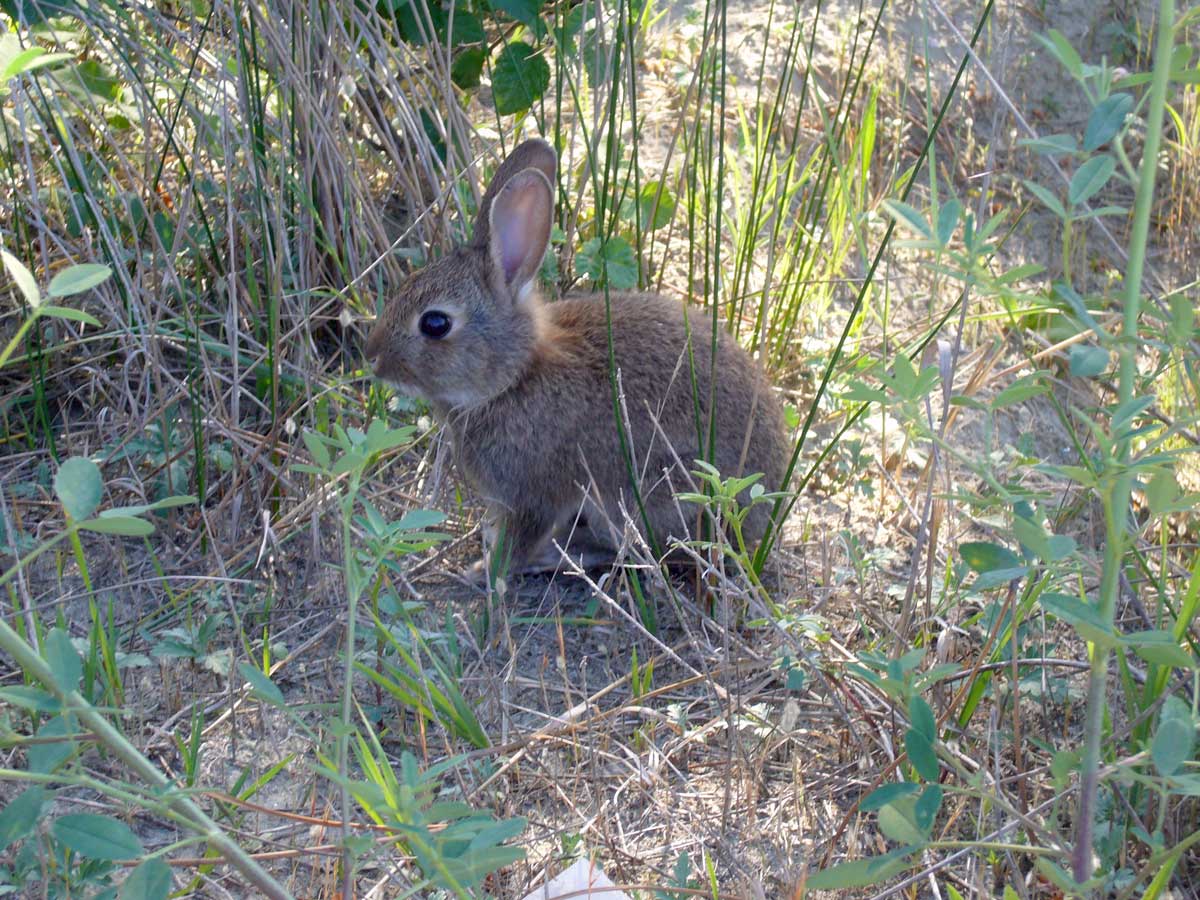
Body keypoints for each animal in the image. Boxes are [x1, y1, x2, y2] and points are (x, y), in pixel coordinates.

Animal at [362, 141, 787, 578]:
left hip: (651, 494)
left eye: (435, 323)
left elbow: (518, 542)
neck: (514, 379)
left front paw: (483, 571)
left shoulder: (533, 495)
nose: (372, 357)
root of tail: (764, 513)